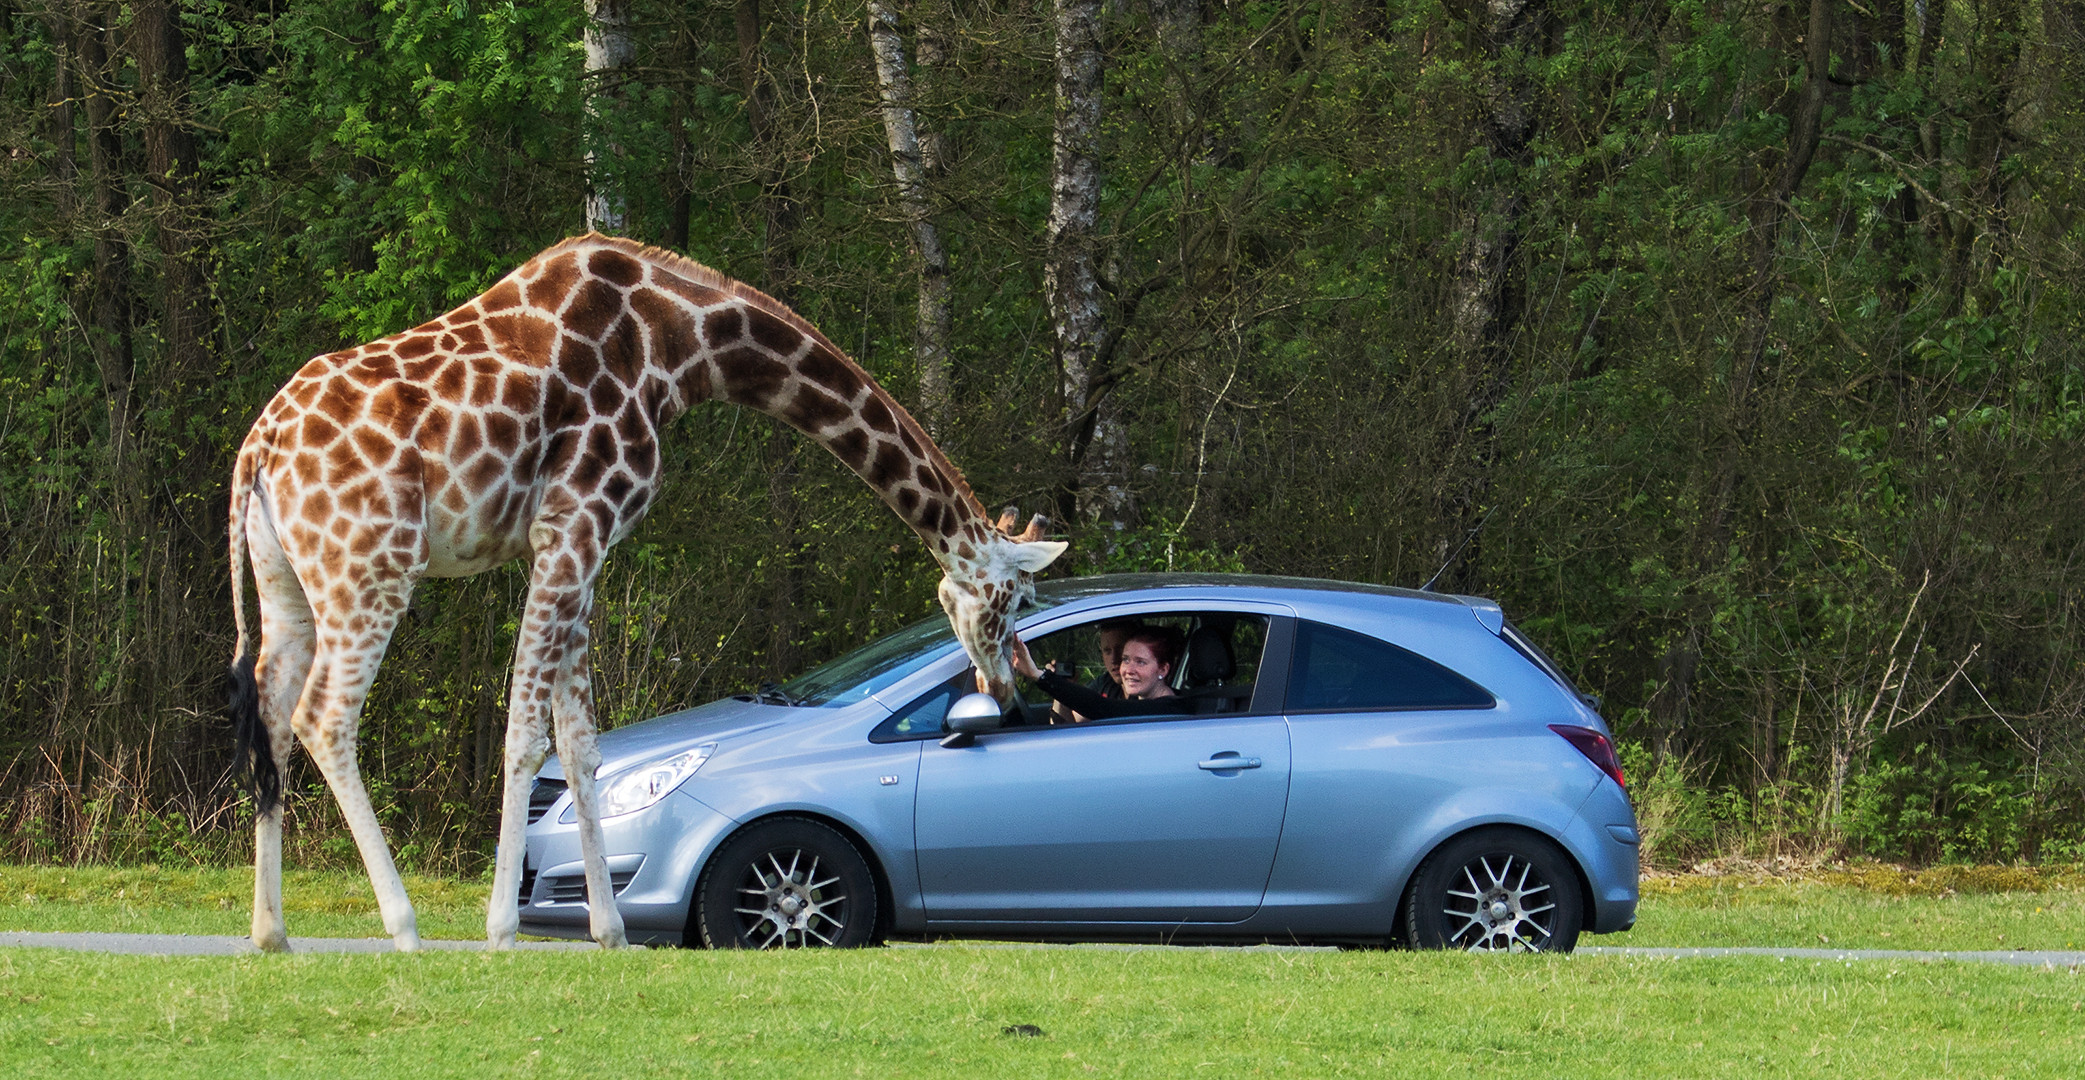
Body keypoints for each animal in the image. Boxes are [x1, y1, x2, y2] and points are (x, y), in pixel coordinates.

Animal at [226, 232, 1067, 954]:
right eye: (1015, 602)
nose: (1005, 693)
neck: (685, 344)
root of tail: (256, 449)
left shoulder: (590, 543)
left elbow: (582, 744)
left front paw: (609, 931)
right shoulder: (571, 524)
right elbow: (526, 733)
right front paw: (501, 928)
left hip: (286, 580)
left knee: (269, 706)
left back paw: (270, 933)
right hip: (372, 565)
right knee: (325, 715)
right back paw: (401, 926)